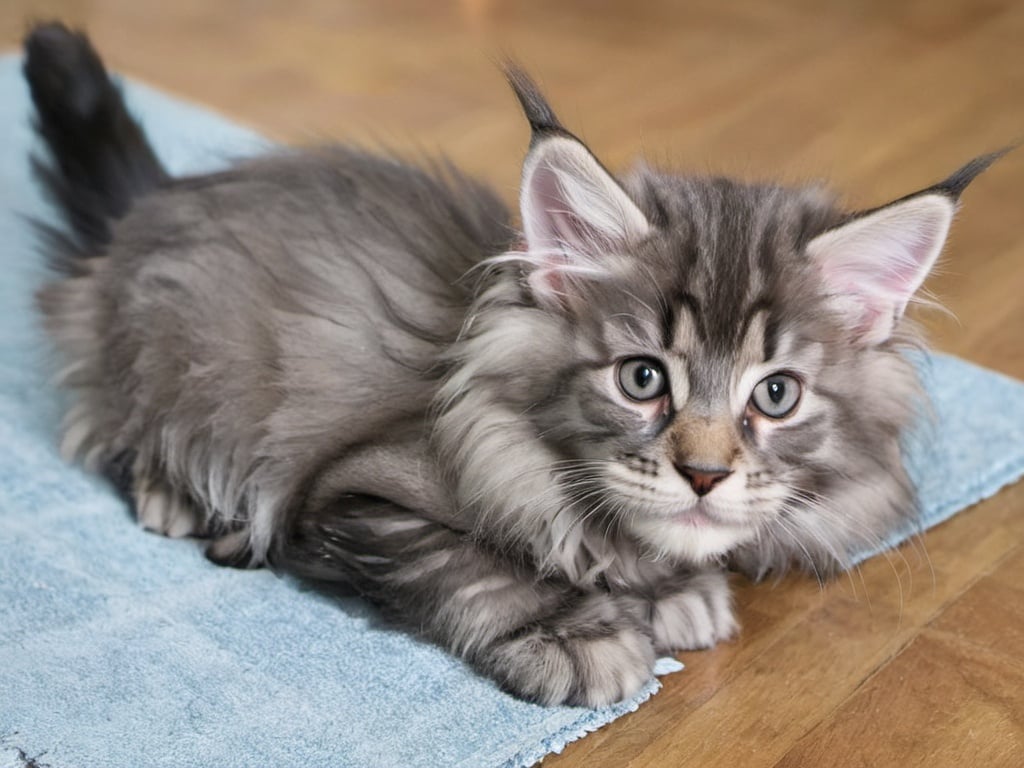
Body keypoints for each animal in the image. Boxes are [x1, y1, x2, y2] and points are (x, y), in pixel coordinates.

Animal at [22, 22, 999, 708]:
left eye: (778, 395)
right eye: (643, 378)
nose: (705, 475)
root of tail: (150, 206)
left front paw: (678, 589)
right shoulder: (351, 491)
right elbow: (477, 567)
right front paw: (584, 638)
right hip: (175, 365)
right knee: (109, 423)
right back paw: (174, 493)